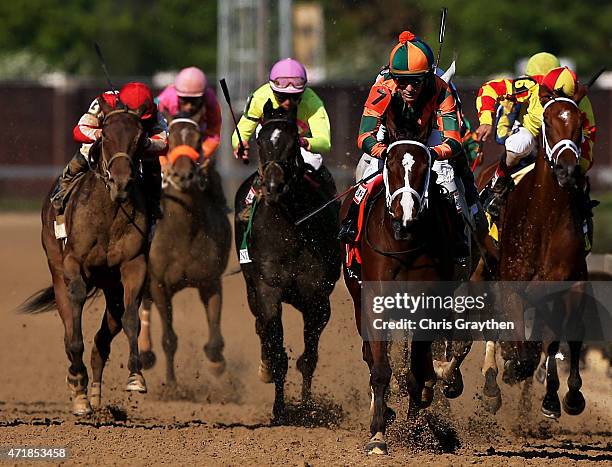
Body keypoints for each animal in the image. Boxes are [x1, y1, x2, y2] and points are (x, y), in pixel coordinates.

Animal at [20, 99, 152, 416]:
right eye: (106, 136)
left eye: (140, 138)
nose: (121, 182)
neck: (110, 212)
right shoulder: (73, 264)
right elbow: (74, 328)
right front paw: (77, 388)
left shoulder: (134, 264)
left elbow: (132, 318)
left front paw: (135, 377)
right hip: (57, 273)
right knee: (70, 329)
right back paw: (80, 391)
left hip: (112, 290)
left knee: (102, 341)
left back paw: (95, 396)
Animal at [137, 114, 231, 384]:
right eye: (171, 140)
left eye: (198, 140)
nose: (182, 176)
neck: (184, 232)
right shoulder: (159, 284)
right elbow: (169, 339)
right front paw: (171, 384)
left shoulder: (210, 281)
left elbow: (215, 335)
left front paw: (216, 364)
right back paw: (145, 353)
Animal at [233, 98, 342, 424]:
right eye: (259, 141)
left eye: (294, 142)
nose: (272, 187)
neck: (291, 229)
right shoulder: (267, 290)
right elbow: (276, 348)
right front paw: (279, 410)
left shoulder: (317, 297)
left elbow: (309, 358)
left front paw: (307, 408)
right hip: (250, 289)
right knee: (261, 329)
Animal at [340, 122, 468, 456]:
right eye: (391, 165)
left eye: (425, 168)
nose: (406, 214)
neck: (404, 242)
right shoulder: (375, 301)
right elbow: (381, 367)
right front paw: (377, 435)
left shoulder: (427, 301)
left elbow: (417, 371)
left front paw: (415, 429)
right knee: (371, 355)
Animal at [480, 85, 592, 420]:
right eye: (548, 122)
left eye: (579, 125)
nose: (567, 169)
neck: (545, 214)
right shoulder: (511, 282)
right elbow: (520, 344)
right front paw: (512, 366)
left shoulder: (569, 283)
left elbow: (561, 338)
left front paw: (562, 397)